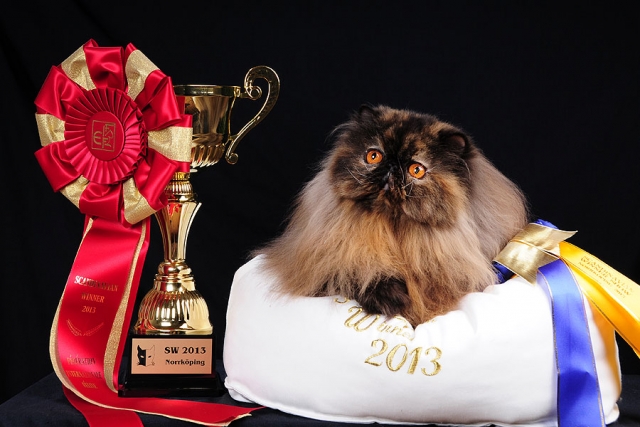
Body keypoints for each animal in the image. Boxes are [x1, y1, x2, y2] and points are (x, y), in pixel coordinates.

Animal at [254, 105, 529, 326]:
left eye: (416, 170)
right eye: (373, 156)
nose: (391, 168)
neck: (392, 230)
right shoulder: (319, 267)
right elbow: (355, 273)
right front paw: (389, 298)